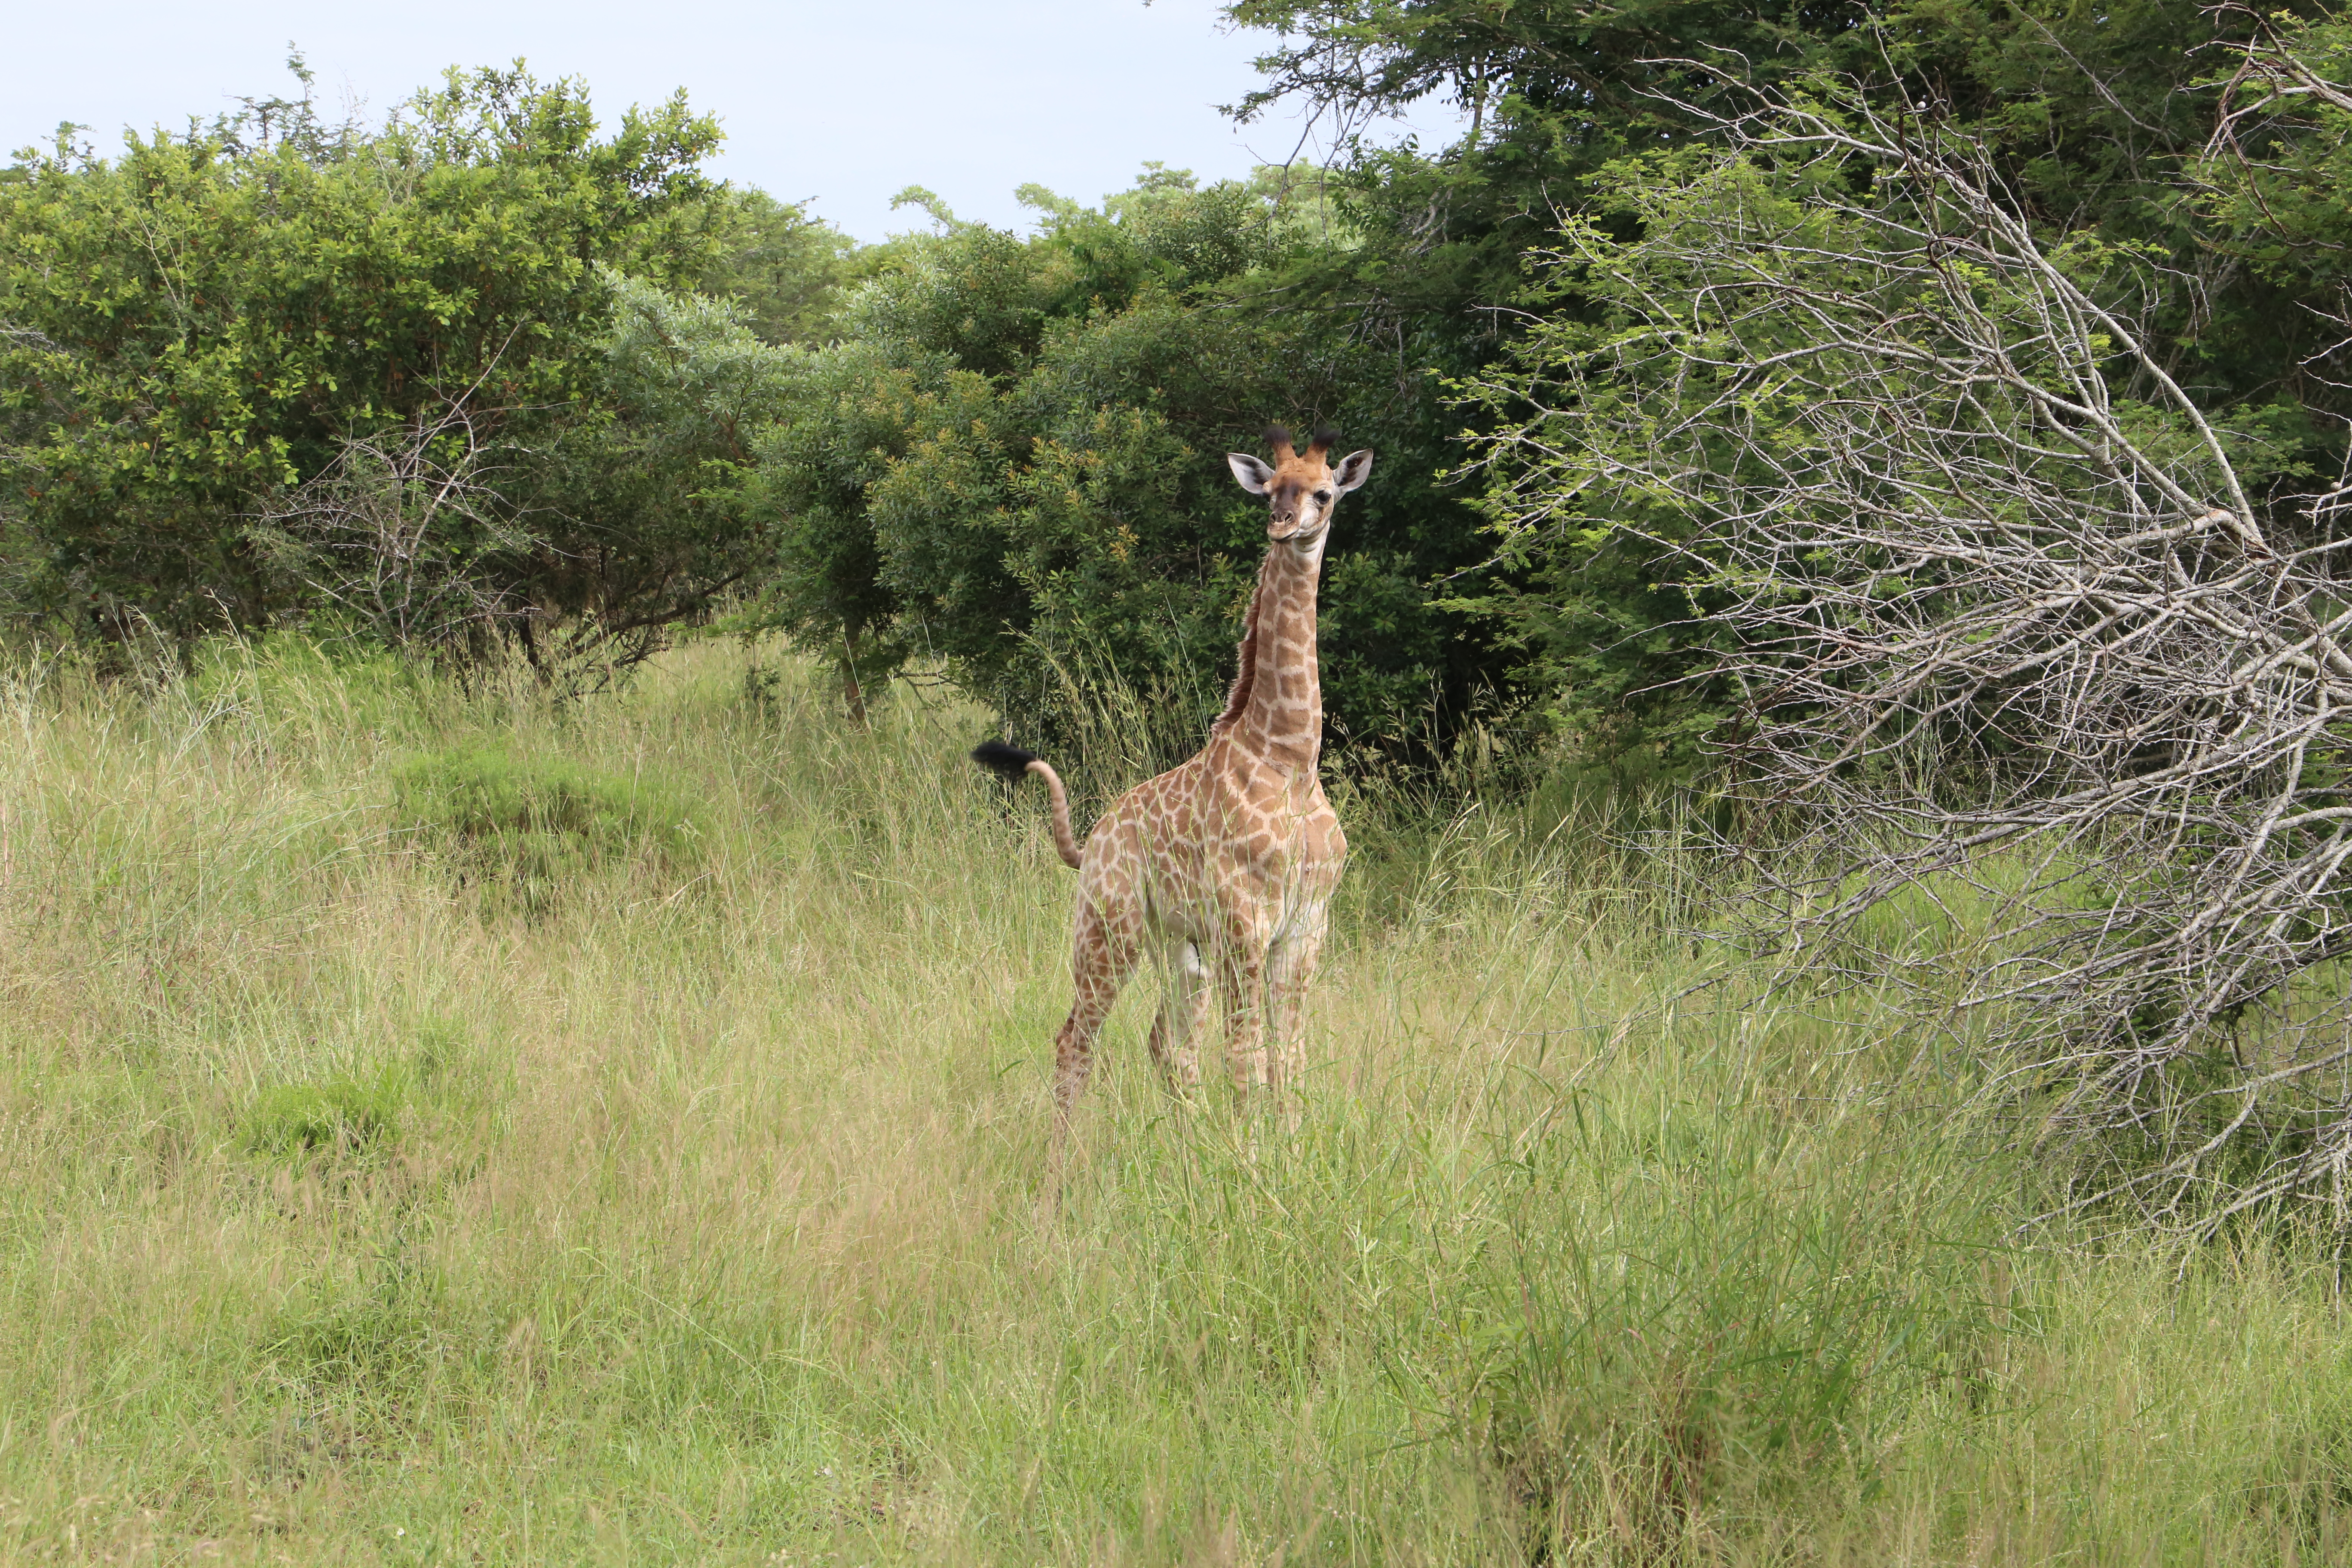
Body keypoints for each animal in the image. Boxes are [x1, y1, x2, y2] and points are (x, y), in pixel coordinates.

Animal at [974, 426, 1373, 1149]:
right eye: (1271, 490)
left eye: (1324, 493)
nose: (1284, 525)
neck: (1291, 761)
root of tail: (1091, 844)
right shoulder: (1246, 922)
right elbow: (1247, 1059)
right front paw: (1252, 1159)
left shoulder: (1306, 927)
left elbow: (1289, 1059)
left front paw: (1287, 1151)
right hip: (1109, 932)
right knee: (1077, 1039)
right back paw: (1060, 1169)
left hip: (1179, 952)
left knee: (1167, 1044)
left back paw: (1187, 1148)